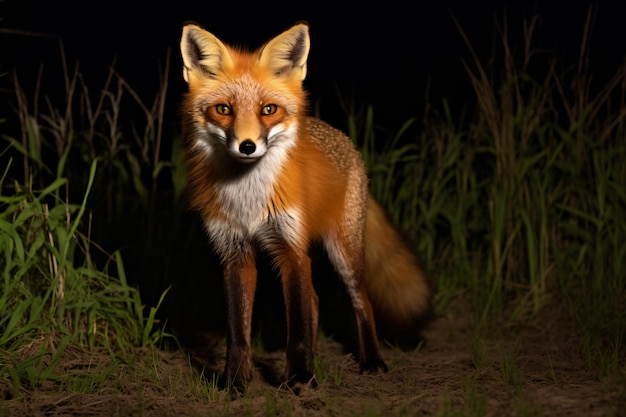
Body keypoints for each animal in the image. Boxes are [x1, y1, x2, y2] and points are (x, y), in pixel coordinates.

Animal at [177, 20, 428, 390]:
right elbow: (238, 332)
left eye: (268, 109)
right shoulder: (235, 252)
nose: (247, 146)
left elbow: (295, 328)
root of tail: (341, 137)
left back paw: (371, 360)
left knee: (362, 302)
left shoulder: (291, 250)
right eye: (223, 109)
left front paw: (299, 379)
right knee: (315, 299)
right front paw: (235, 382)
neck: (248, 198)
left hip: (343, 251)